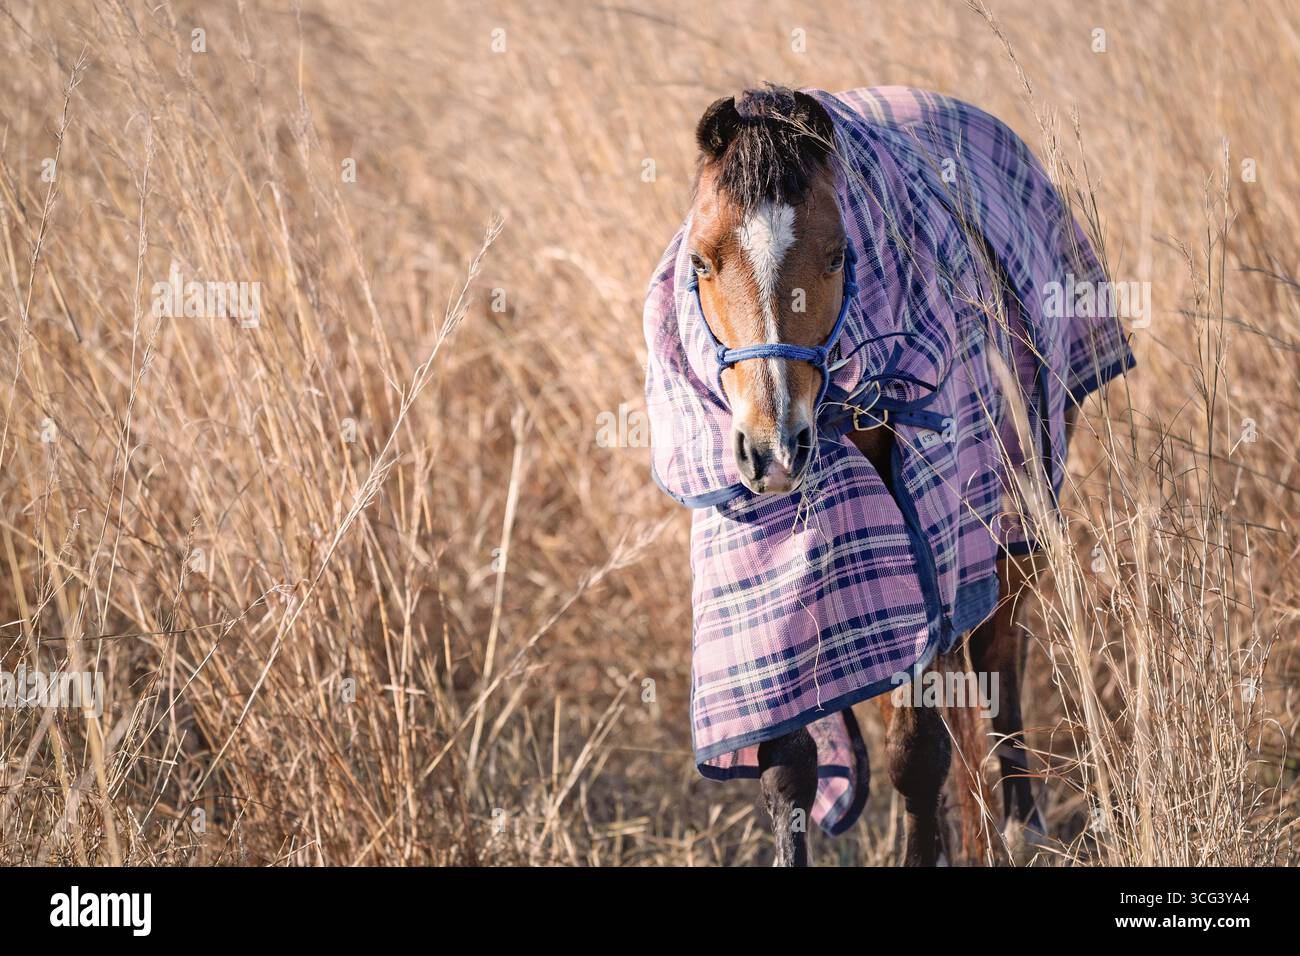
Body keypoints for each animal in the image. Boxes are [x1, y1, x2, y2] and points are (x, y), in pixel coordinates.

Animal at [643, 85, 1132, 866]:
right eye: (701, 262)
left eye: (839, 255)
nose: (774, 449)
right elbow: (789, 765)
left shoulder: (934, 547)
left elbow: (917, 756)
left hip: (1018, 508)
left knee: (1000, 652)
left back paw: (1022, 822)